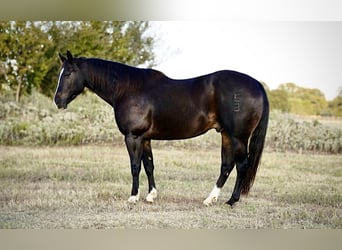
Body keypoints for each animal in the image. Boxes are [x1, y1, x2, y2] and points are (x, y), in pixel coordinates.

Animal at [54, 51, 268, 207]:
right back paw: (210, 199)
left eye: (68, 73)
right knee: (226, 165)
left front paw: (133, 197)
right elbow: (149, 166)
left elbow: (135, 166)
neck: (127, 88)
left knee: (242, 166)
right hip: (226, 135)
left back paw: (231, 201)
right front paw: (151, 196)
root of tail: (257, 84)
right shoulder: (145, 138)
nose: (57, 100)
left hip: (239, 137)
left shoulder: (133, 137)